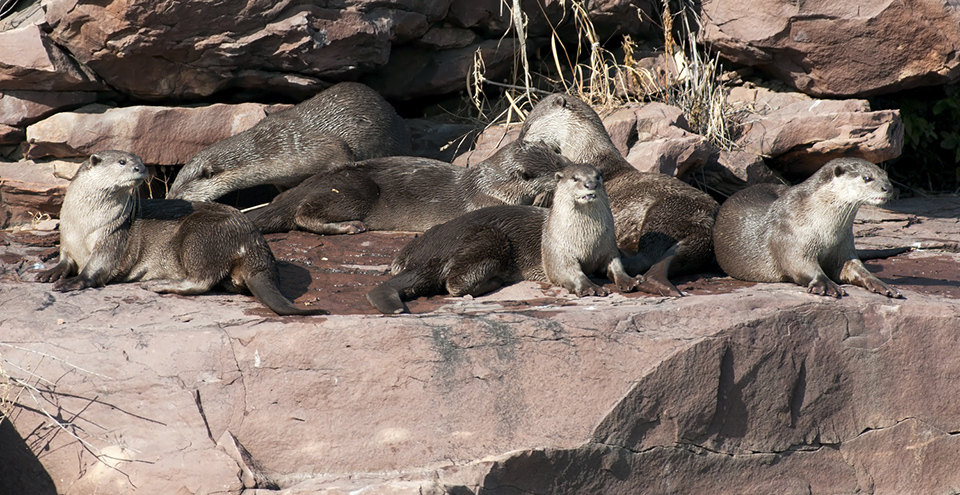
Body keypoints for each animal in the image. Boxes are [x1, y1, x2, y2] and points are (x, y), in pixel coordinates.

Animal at [36, 150, 327, 316]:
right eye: (122, 161)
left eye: (141, 161)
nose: (141, 169)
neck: (83, 224)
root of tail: (251, 240)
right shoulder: (66, 240)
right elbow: (64, 259)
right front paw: (49, 272)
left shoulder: (112, 238)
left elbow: (97, 267)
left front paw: (74, 281)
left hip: (199, 236)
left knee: (202, 280)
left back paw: (159, 285)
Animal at [246, 140, 570, 235]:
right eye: (557, 174)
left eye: (560, 156)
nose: (571, 168)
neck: (490, 184)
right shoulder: (486, 202)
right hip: (353, 191)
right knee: (302, 214)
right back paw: (351, 226)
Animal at [366, 164, 640, 314]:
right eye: (575, 178)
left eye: (598, 176)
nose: (590, 184)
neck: (587, 240)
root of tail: (427, 254)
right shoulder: (557, 251)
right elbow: (569, 272)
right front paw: (590, 287)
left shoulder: (609, 247)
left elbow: (616, 265)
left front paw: (629, 280)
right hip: (490, 237)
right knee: (454, 284)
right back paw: (494, 282)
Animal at [518, 93, 719, 297]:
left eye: (527, 126)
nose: (519, 143)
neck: (589, 156)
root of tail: (705, 223)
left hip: (664, 214)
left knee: (645, 257)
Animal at [713, 157, 902, 298]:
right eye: (867, 178)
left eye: (885, 175)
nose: (888, 188)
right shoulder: (790, 235)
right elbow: (800, 265)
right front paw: (826, 284)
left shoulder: (843, 246)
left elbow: (855, 267)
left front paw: (880, 283)